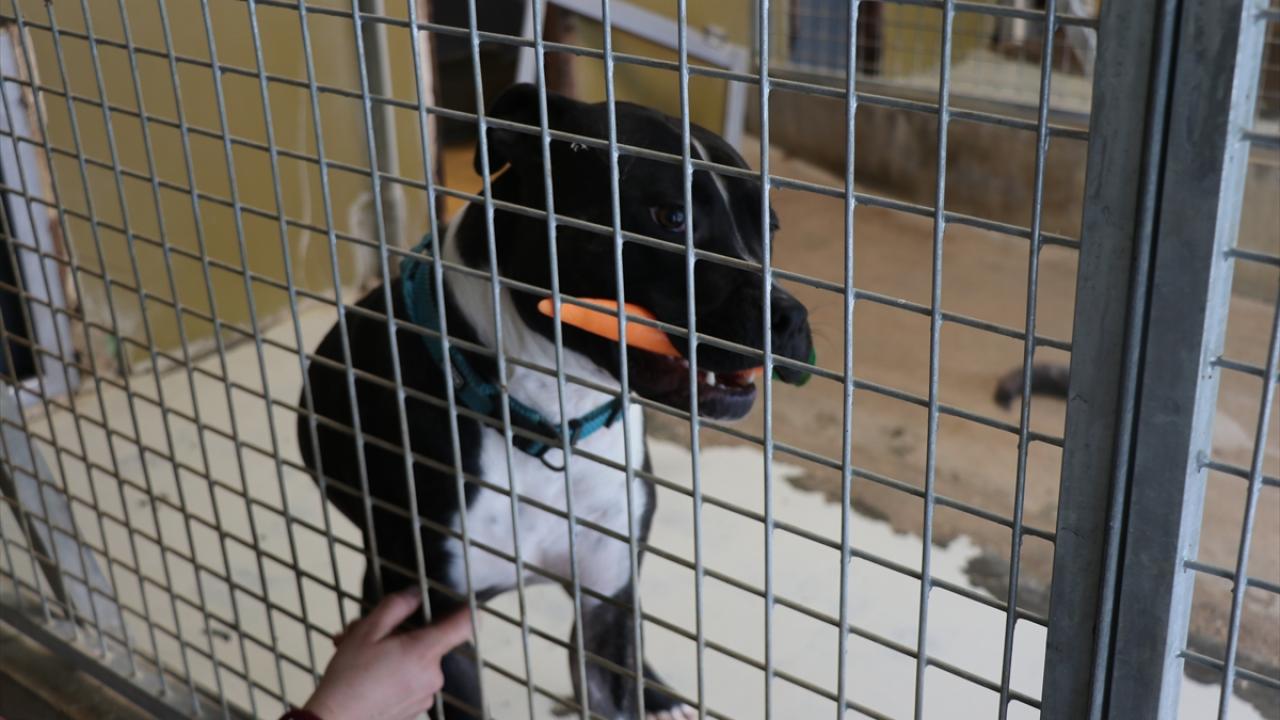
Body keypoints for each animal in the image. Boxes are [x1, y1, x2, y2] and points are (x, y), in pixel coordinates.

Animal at [297, 83, 814, 719]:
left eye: (770, 227)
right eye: (670, 217)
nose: (790, 317)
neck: (549, 419)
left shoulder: (605, 610)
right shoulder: (430, 633)